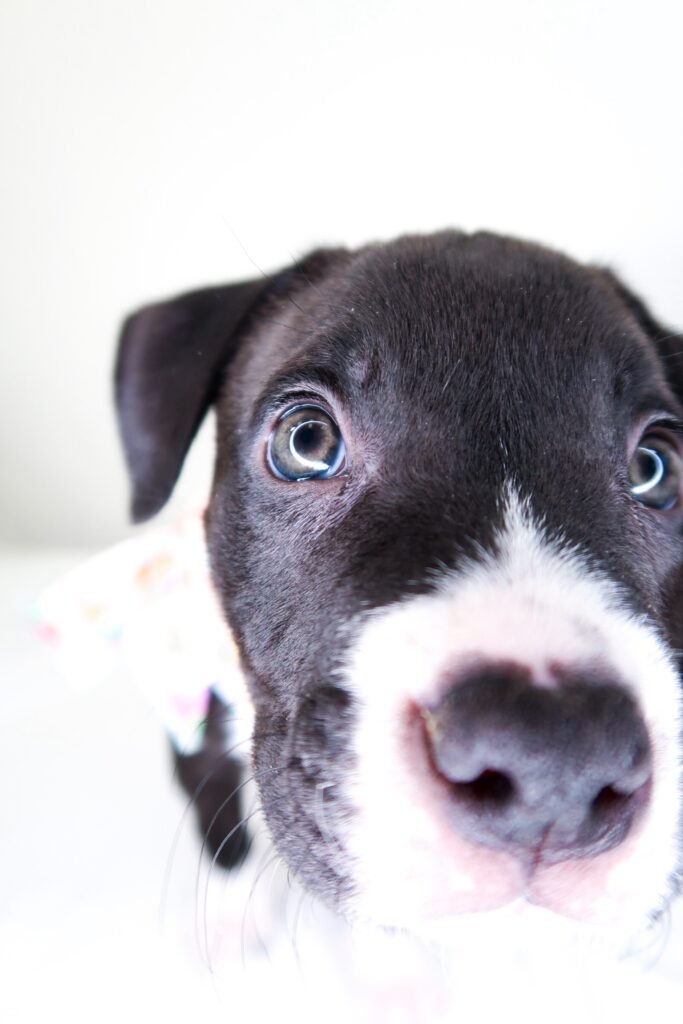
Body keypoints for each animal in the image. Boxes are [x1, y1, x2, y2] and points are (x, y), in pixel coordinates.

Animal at [115, 230, 683, 1014]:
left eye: (655, 466)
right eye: (305, 441)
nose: (555, 762)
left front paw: (397, 983)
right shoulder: (202, 721)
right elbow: (222, 817)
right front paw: (234, 923)